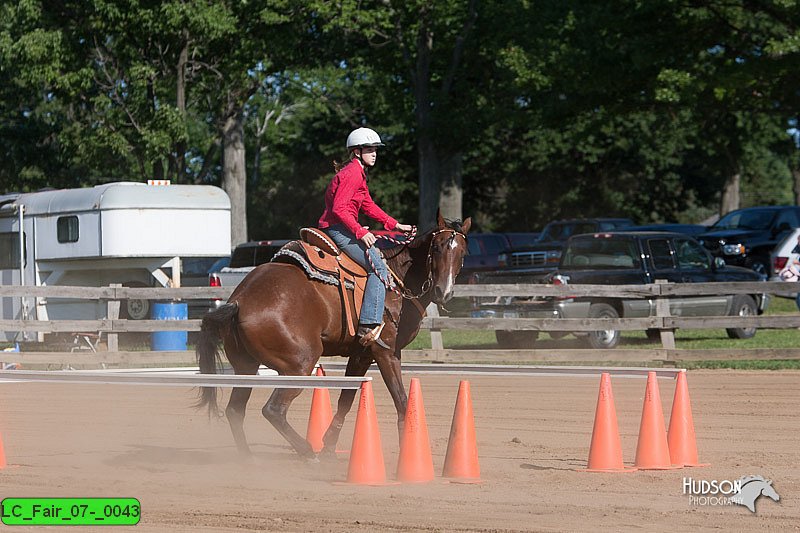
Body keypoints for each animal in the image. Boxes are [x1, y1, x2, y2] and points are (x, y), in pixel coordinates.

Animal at [195, 211, 468, 458]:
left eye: (462, 253)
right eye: (438, 248)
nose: (444, 292)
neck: (397, 280)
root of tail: (240, 300)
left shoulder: (361, 354)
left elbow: (346, 399)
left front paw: (329, 445)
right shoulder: (385, 351)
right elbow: (401, 401)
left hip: (246, 366)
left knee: (235, 410)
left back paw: (248, 459)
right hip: (299, 365)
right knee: (273, 409)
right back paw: (307, 451)